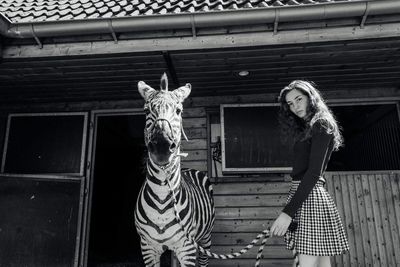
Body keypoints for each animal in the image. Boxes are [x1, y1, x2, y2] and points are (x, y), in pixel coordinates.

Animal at [135, 74, 216, 267]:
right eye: (146, 111)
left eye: (178, 111)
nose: (162, 146)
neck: (162, 199)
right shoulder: (147, 248)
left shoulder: (187, 248)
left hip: (205, 238)